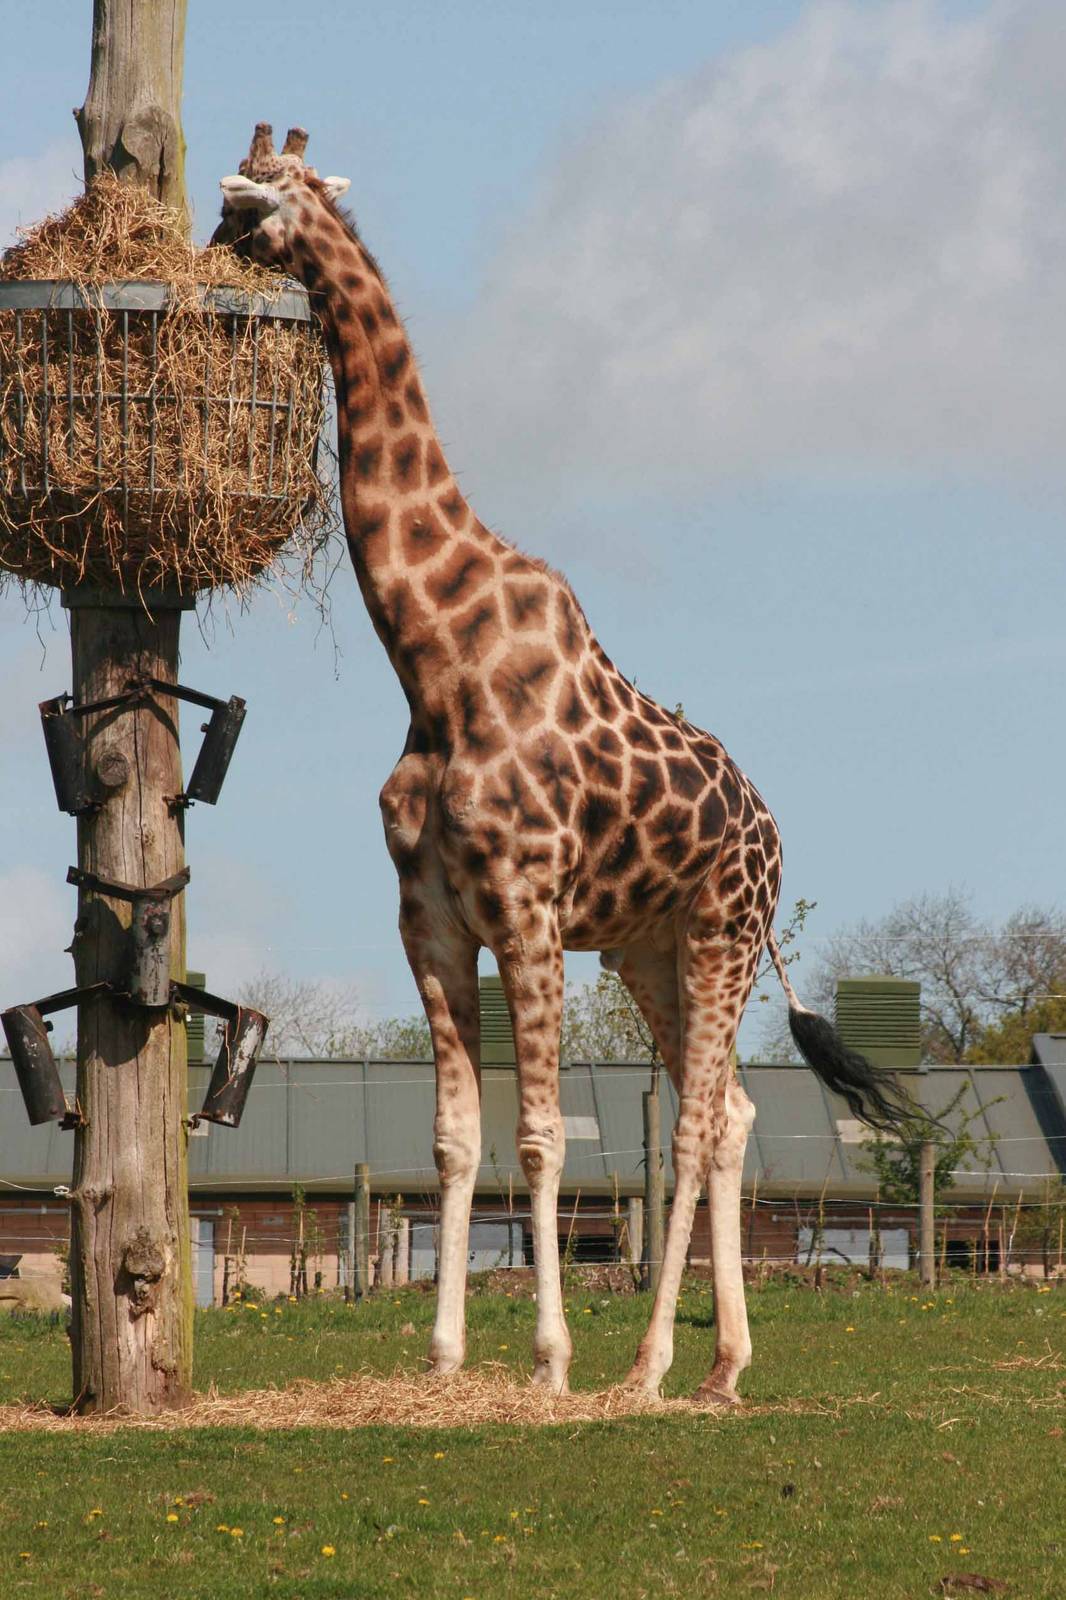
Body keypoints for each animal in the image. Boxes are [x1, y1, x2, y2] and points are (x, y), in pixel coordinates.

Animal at [214, 125, 912, 1402]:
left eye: (245, 212)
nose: (203, 275)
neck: (433, 663)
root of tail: (773, 837)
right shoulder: (431, 916)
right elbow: (453, 1139)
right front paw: (443, 1356)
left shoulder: (528, 905)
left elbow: (539, 1136)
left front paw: (545, 1359)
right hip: (648, 948)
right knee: (731, 1109)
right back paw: (722, 1365)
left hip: (719, 932)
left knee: (692, 1120)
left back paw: (645, 1365)